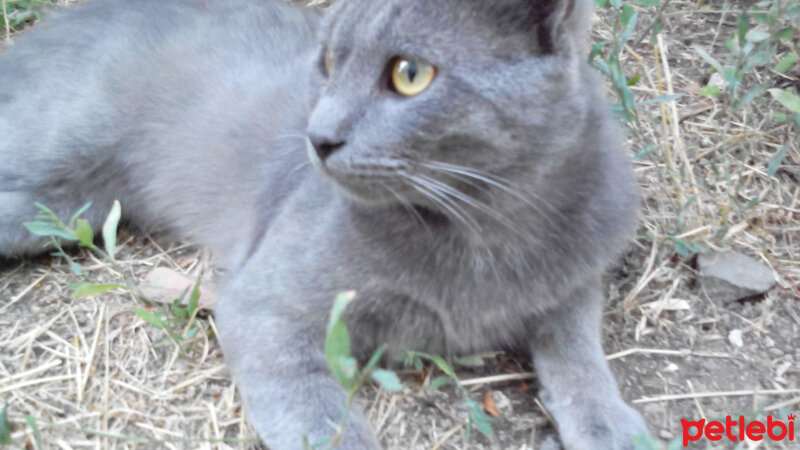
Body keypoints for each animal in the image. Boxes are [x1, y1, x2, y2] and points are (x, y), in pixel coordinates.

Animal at [0, 0, 648, 448]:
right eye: (330, 62)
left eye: (410, 73)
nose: (318, 136)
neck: (483, 231)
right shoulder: (264, 304)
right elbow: (315, 409)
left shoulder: (574, 278)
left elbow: (576, 347)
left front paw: (609, 424)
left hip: (72, 210)